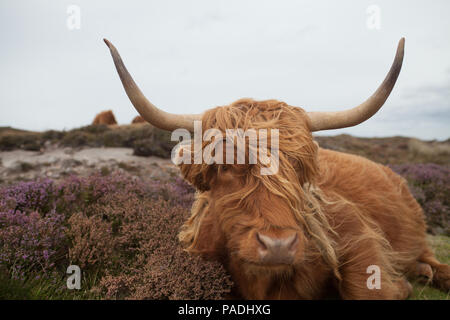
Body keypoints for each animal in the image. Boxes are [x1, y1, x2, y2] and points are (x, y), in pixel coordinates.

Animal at [105, 38, 450, 300]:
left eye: (298, 168)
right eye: (225, 165)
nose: (278, 246)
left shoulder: (356, 231)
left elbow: (366, 288)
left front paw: (401, 287)